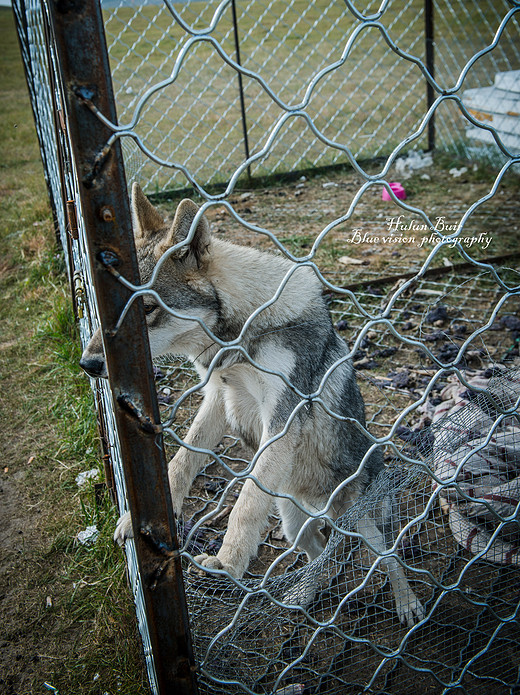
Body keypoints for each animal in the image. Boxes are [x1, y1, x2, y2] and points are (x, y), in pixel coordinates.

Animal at [79, 182, 424, 628]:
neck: (237, 338)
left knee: (387, 555)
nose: (87, 364)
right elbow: (179, 464)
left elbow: (243, 505)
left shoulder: (281, 418)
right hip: (292, 521)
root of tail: (325, 508)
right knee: (324, 555)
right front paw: (133, 521)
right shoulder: (217, 400)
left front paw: (228, 562)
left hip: (361, 520)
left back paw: (407, 603)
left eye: (147, 310)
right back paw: (303, 593)